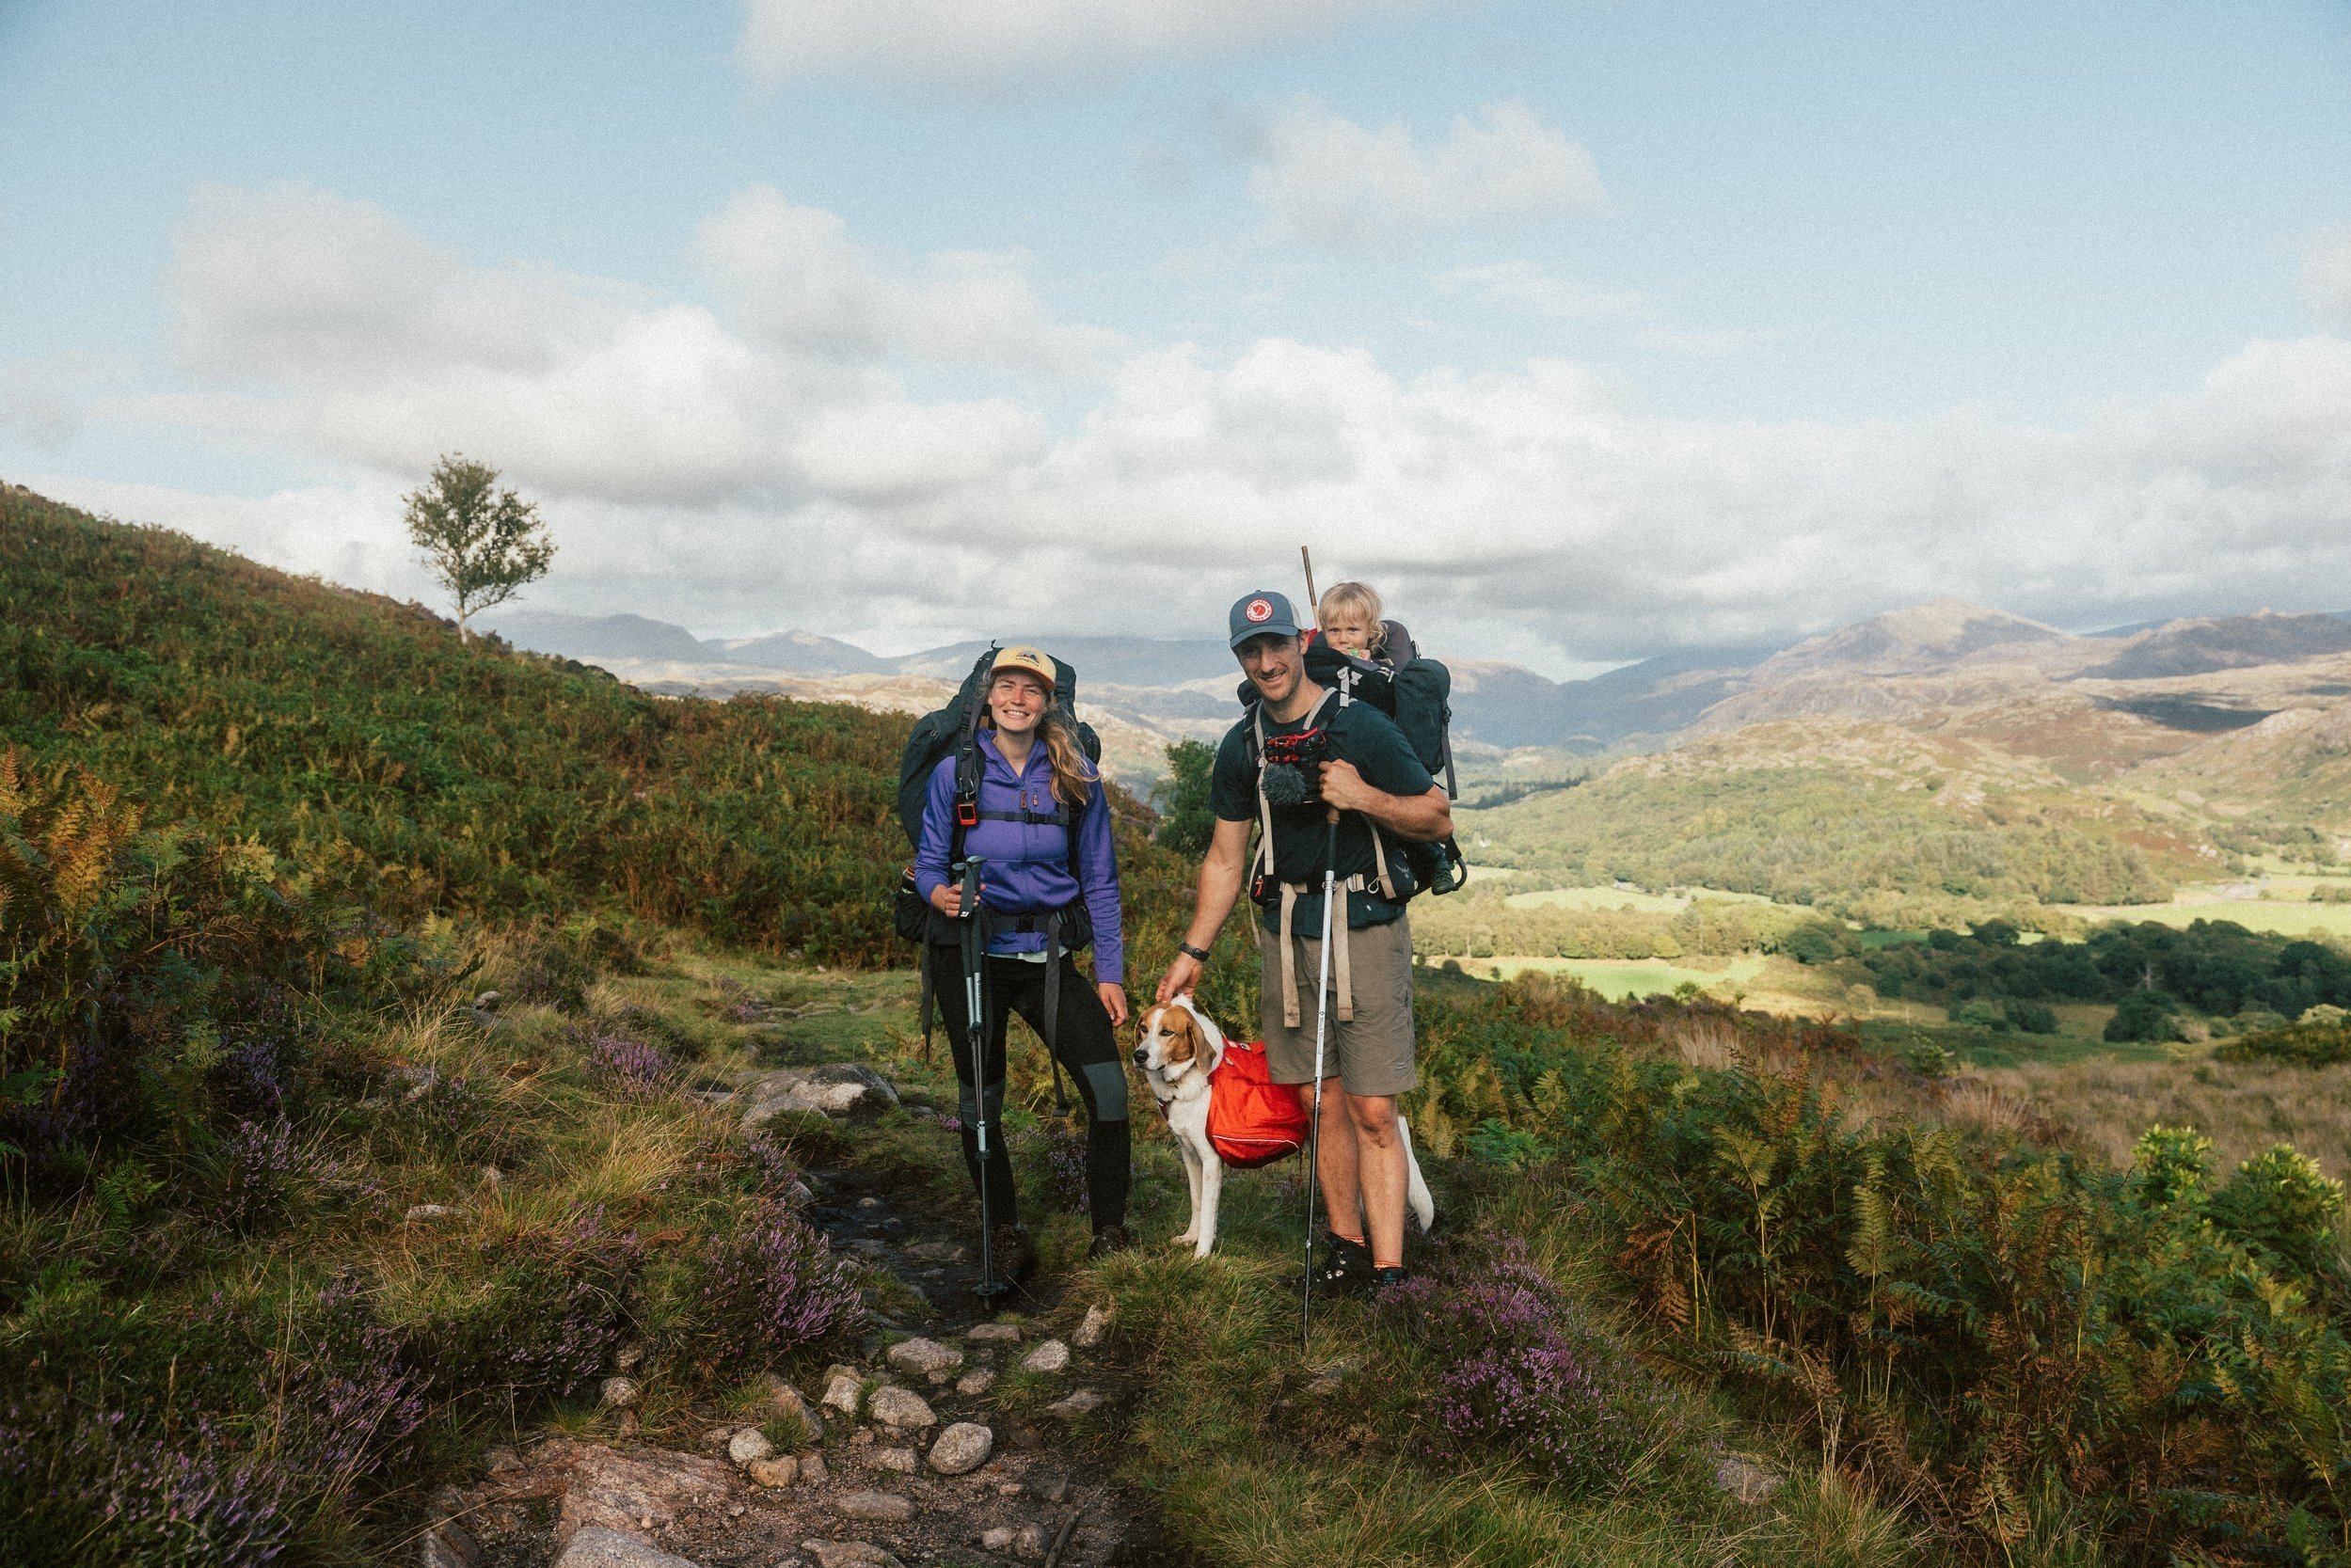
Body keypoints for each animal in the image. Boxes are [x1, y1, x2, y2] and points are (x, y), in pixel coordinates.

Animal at [1133, 1006, 1438, 1259]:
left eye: (1167, 1032)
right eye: (1144, 1029)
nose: (1139, 1056)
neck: (1191, 1079)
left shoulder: (1210, 1162)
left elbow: (1208, 1213)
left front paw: (1202, 1254)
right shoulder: (1191, 1156)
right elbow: (1197, 1203)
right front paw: (1190, 1238)